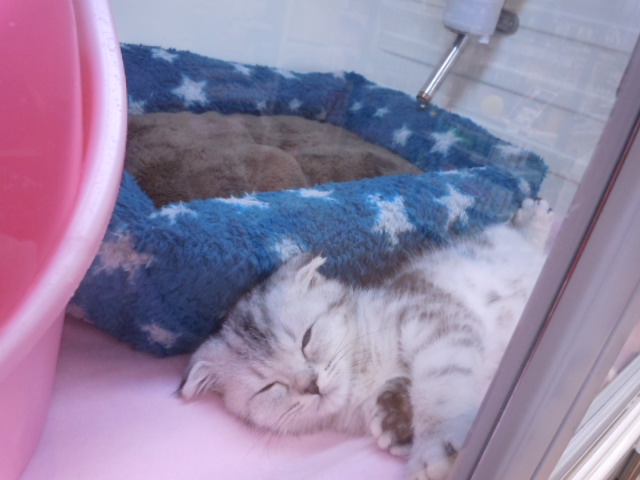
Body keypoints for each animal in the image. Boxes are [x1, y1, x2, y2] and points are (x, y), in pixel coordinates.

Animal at [180, 198, 553, 480]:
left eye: (306, 338)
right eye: (269, 387)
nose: (311, 385)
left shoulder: (433, 318)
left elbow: (439, 387)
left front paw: (436, 446)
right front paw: (395, 419)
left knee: (518, 236)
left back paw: (535, 217)